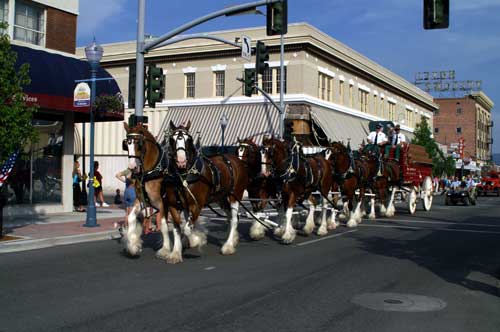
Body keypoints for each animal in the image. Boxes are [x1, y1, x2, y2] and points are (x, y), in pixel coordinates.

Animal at [165, 120, 249, 264]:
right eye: (172, 139)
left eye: (189, 139)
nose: (181, 161)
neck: (184, 175)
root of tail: (236, 160)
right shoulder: (174, 205)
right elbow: (177, 229)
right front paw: (176, 253)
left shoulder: (197, 205)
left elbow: (187, 229)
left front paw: (197, 240)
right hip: (221, 198)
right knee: (230, 218)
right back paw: (232, 240)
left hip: (235, 195)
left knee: (234, 219)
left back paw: (228, 246)